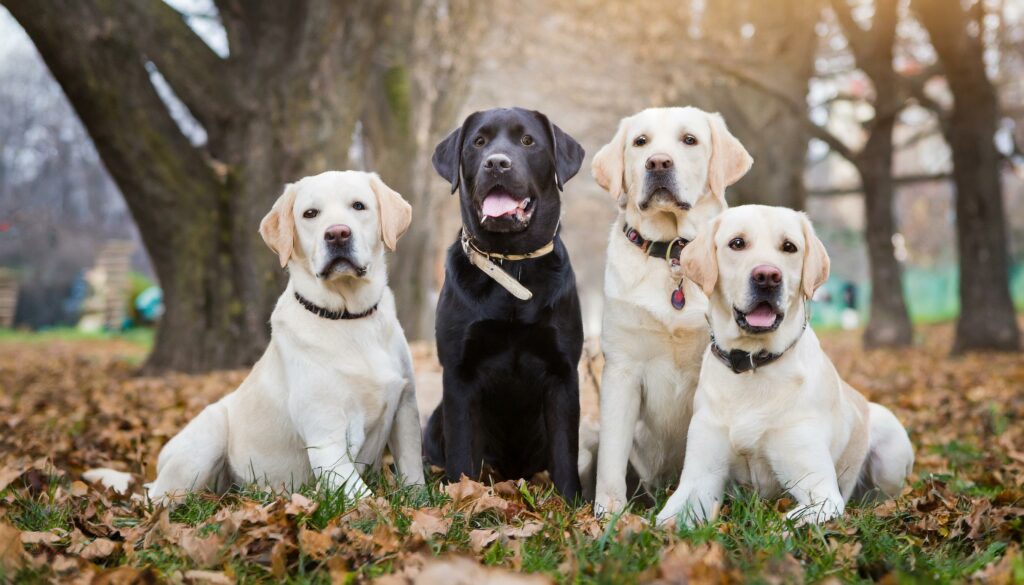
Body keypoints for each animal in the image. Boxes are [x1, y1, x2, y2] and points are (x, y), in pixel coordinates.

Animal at [147, 169, 419, 504]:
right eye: (310, 214)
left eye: (359, 206)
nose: (337, 234)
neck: (348, 317)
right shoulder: (326, 436)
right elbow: (362, 498)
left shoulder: (405, 410)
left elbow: (413, 471)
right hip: (206, 439)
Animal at [421, 107, 585, 502]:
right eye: (479, 141)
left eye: (527, 141)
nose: (497, 162)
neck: (511, 262)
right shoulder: (459, 373)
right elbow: (462, 453)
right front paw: (461, 499)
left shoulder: (563, 372)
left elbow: (564, 452)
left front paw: (573, 506)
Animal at [585, 108, 753, 512]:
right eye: (640, 142)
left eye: (689, 140)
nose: (658, 163)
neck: (672, 253)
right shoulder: (622, 369)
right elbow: (612, 456)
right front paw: (609, 512)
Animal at [655, 205, 913, 524]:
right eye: (737, 243)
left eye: (789, 247)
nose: (767, 276)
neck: (753, 363)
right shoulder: (698, 478)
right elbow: (664, 521)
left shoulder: (822, 492)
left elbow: (788, 522)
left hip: (888, 437)